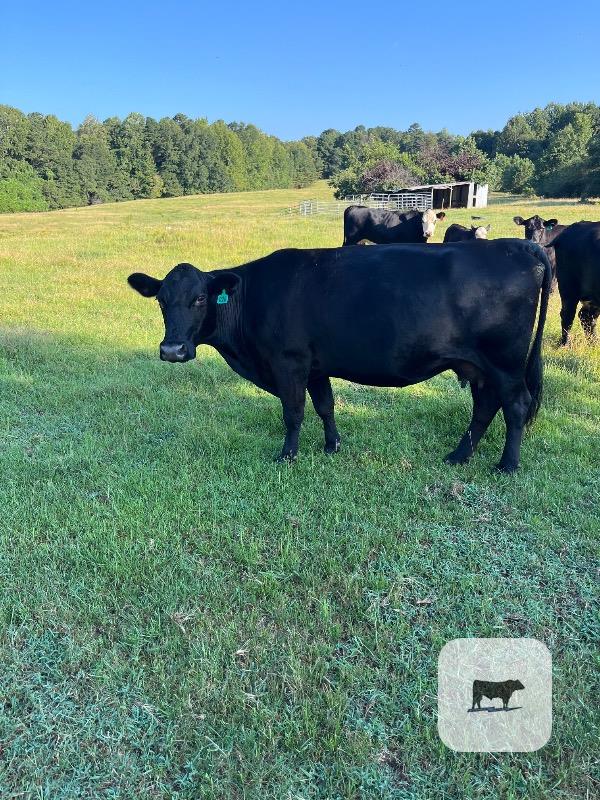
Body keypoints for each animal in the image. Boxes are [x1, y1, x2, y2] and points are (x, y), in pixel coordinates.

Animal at [127, 239, 552, 472]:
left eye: (200, 298)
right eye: (161, 300)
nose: (172, 349)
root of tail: (520, 245)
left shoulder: (289, 362)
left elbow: (293, 412)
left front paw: (288, 456)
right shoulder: (316, 367)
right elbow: (325, 406)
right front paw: (332, 446)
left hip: (505, 362)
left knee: (515, 405)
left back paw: (507, 465)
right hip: (478, 366)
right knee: (485, 406)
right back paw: (459, 455)